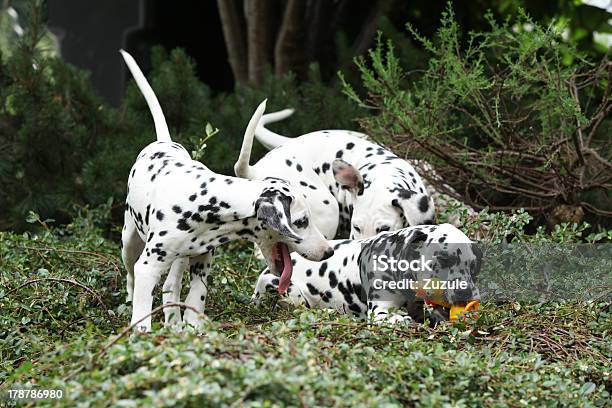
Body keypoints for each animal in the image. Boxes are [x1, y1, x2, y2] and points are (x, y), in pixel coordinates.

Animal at [119, 51, 334, 332]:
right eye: (301, 221)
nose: (329, 251)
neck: (205, 200)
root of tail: (163, 142)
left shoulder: (202, 262)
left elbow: (195, 298)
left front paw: (192, 328)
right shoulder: (148, 266)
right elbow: (143, 311)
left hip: (179, 260)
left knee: (170, 286)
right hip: (129, 242)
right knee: (131, 277)